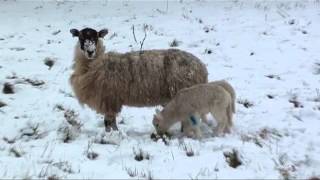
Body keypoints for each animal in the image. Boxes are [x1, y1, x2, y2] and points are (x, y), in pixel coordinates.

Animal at [69, 27, 208, 131]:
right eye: (80, 37)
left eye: (96, 37)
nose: (90, 51)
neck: (94, 65)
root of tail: (201, 67)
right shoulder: (110, 101)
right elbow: (110, 123)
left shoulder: (109, 100)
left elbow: (109, 123)